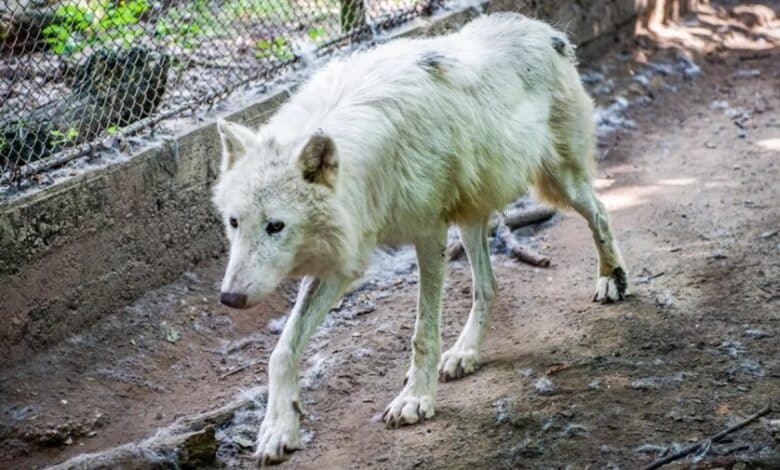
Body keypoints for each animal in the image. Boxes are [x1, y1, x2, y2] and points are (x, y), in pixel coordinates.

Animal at [212, 12, 627, 464]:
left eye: (276, 226)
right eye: (234, 223)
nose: (230, 298)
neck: (370, 164)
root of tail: (544, 30)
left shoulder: (428, 231)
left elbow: (422, 333)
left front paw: (415, 400)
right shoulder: (346, 253)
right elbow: (282, 351)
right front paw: (278, 428)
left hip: (559, 184)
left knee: (601, 212)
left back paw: (612, 278)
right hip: (470, 215)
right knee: (488, 285)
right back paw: (465, 353)